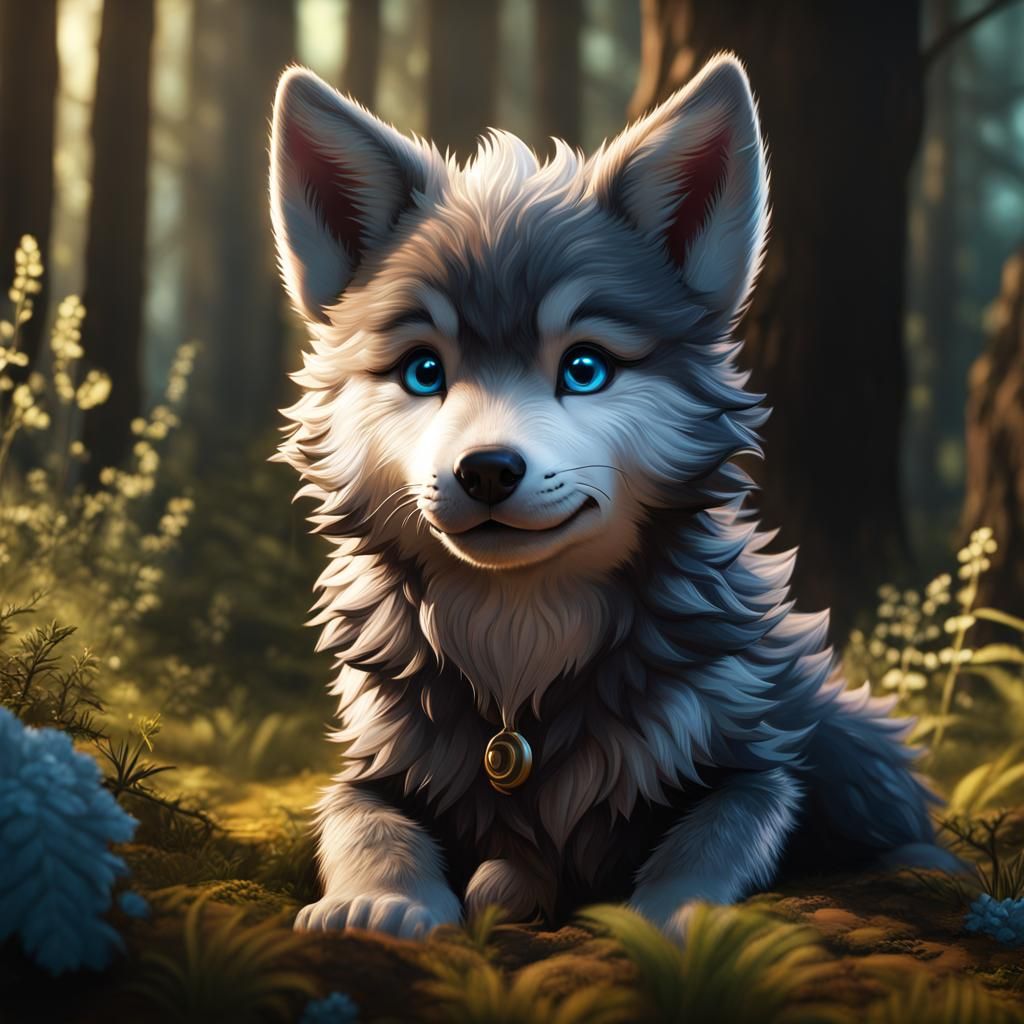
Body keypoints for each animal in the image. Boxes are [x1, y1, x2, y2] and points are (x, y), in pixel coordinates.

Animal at [268, 53, 955, 941]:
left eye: (585, 367)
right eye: (423, 371)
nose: (487, 470)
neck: (518, 636)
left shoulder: (755, 765)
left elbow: (717, 833)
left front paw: (669, 914)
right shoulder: (375, 762)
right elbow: (360, 818)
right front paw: (385, 901)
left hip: (849, 744)